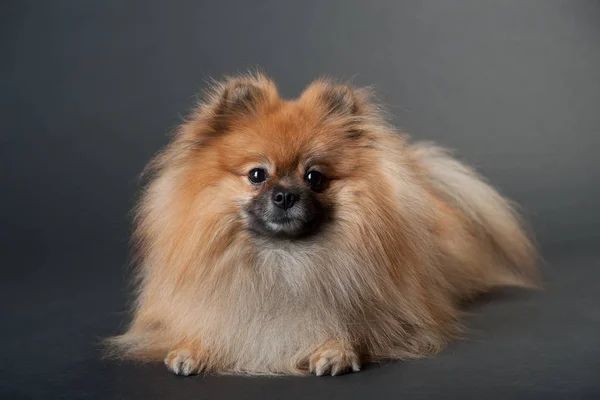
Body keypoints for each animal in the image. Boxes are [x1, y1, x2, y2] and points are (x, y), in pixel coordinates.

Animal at [108, 73, 540, 376]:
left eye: (314, 177)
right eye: (257, 175)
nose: (285, 195)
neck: (283, 261)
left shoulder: (402, 322)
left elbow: (359, 331)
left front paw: (335, 350)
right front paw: (191, 348)